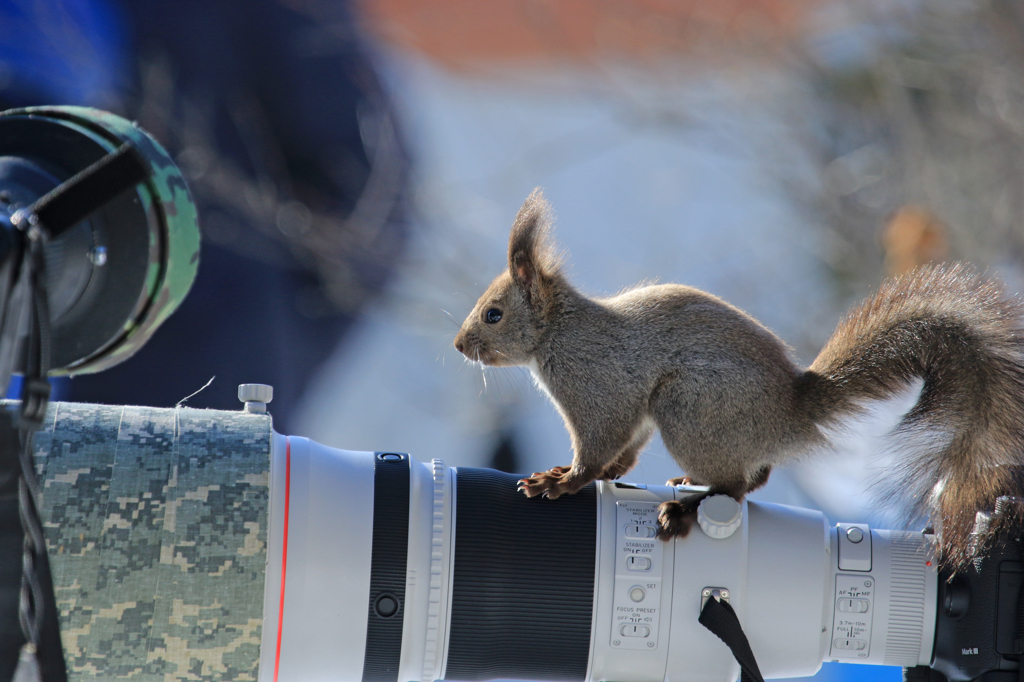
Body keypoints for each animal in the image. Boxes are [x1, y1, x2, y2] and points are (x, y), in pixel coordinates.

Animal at [456, 188, 1024, 565]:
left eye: (493, 315)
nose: (460, 346)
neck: (558, 332)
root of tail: (790, 414)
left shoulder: (598, 386)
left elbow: (598, 444)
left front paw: (561, 481)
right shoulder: (630, 411)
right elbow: (626, 452)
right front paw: (599, 474)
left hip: (688, 407)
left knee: (735, 486)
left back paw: (687, 509)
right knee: (755, 477)